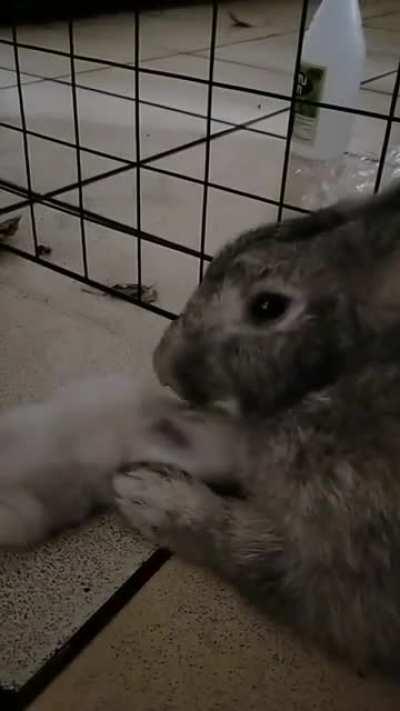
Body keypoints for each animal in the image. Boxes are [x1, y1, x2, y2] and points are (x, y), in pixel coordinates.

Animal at [114, 180, 400, 675]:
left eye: (267, 306)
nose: (162, 365)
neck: (343, 371)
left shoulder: (351, 578)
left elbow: (247, 550)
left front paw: (151, 496)